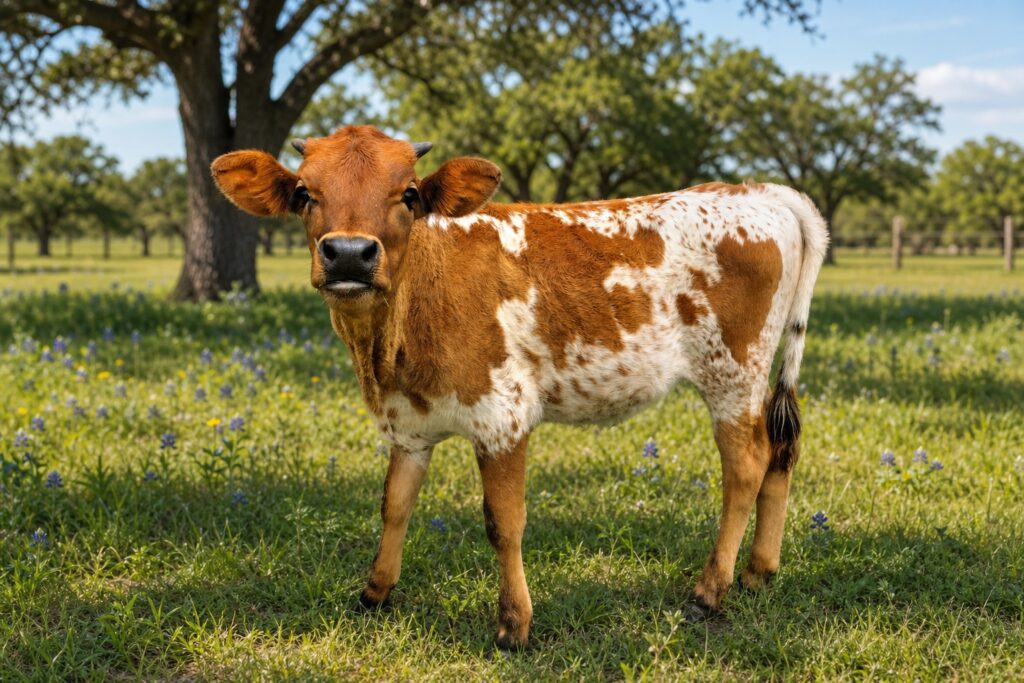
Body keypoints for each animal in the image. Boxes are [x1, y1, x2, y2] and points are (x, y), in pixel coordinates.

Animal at [211, 125, 828, 650]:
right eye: (304, 192)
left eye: (408, 194)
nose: (348, 255)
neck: (385, 348)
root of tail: (756, 190)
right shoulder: (408, 424)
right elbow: (394, 505)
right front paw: (375, 592)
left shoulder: (500, 418)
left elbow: (503, 523)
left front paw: (514, 624)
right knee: (780, 454)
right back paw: (758, 572)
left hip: (733, 372)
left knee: (746, 466)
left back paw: (710, 590)